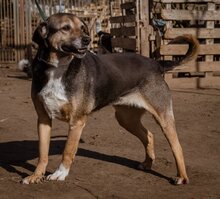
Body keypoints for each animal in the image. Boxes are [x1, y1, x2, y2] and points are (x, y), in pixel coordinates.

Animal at [21, 13, 199, 185]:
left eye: (83, 28)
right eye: (65, 28)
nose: (87, 40)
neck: (58, 68)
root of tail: (156, 64)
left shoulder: (76, 121)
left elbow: (68, 151)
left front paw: (60, 173)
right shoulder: (43, 119)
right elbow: (42, 153)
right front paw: (36, 175)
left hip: (163, 117)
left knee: (177, 146)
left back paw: (182, 177)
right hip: (126, 118)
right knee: (148, 135)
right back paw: (148, 164)